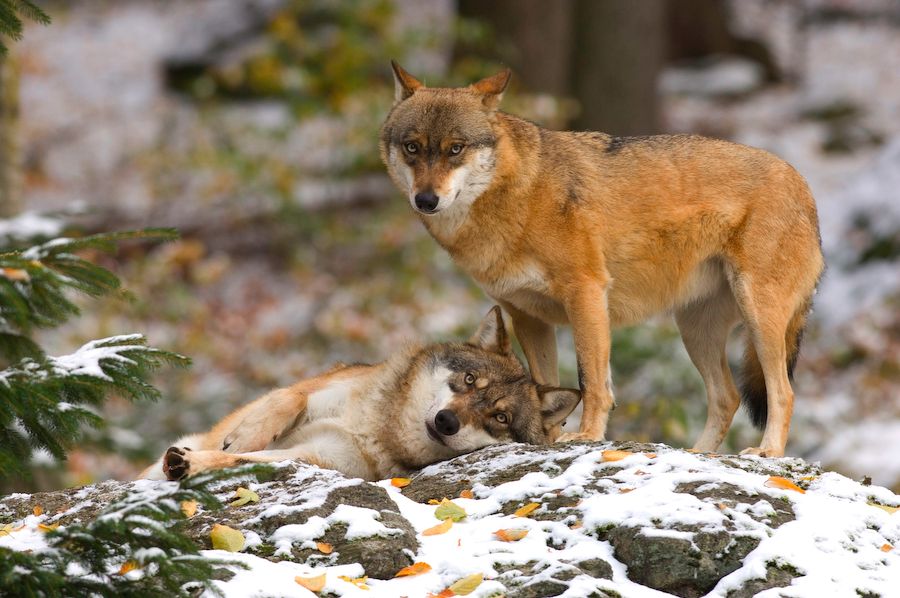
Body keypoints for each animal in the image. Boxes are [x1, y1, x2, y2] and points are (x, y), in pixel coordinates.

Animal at [139, 310, 576, 482]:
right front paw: (244, 436)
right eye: (469, 380)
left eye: (501, 419)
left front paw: (190, 464)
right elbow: (287, 401)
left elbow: (241, 461)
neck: (373, 426)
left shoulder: (314, 458)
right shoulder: (316, 388)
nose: (447, 421)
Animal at [380, 63, 824, 460]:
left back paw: (767, 452)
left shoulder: (587, 293)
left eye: (455, 149)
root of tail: (803, 186)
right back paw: (699, 453)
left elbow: (592, 382)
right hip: (695, 331)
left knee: (783, 392)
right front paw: (545, 438)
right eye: (412, 147)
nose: (426, 200)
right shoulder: (528, 317)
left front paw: (586, 435)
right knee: (727, 397)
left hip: (757, 316)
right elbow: (548, 386)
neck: (513, 200)